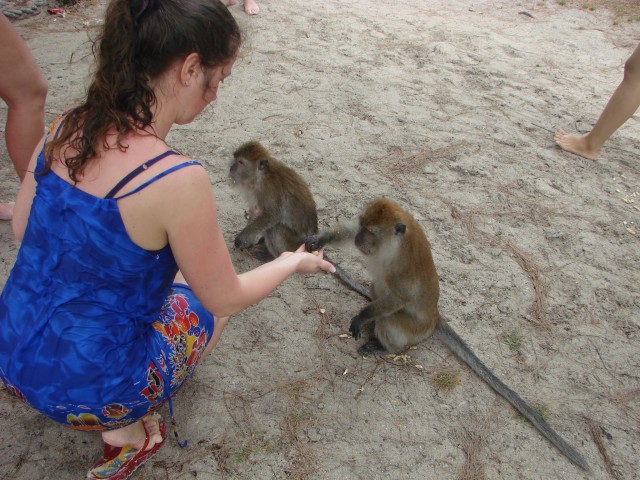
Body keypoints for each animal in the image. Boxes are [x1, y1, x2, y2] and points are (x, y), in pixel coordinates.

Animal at [229, 141, 370, 300]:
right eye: (236, 160)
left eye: (240, 162)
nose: (231, 168)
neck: (262, 176)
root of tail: (310, 239)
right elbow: (256, 212)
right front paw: (249, 240)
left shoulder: (267, 190)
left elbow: (271, 216)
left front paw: (241, 239)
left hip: (293, 241)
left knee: (275, 228)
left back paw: (273, 257)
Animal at [304, 199, 592, 472]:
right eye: (363, 226)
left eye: (371, 232)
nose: (359, 241)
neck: (392, 244)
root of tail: (435, 317)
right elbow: (348, 229)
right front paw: (321, 239)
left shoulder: (403, 265)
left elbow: (400, 298)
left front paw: (362, 318)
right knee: (378, 290)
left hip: (415, 328)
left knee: (390, 319)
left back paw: (385, 344)